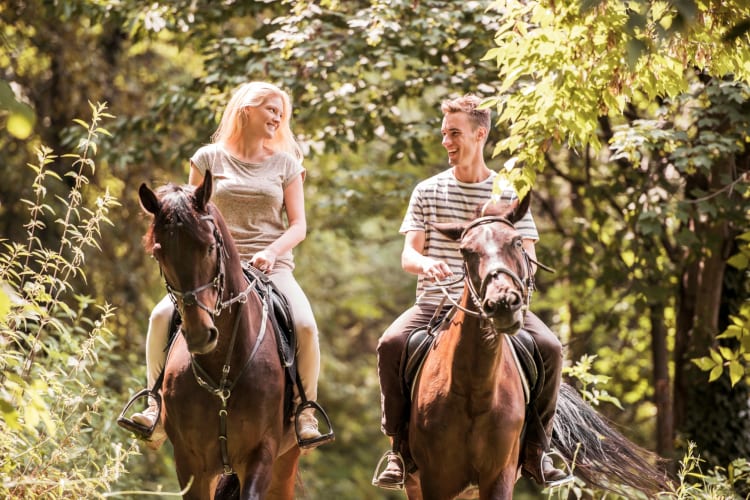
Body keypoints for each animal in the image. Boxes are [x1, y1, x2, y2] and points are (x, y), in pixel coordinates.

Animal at [138, 171, 300, 496]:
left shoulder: (262, 453)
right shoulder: (190, 463)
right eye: (160, 255)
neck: (222, 365)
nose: (200, 335)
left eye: (210, 248)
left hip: (284, 465)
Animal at [406, 197, 676, 500]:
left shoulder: (499, 476)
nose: (502, 303)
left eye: (517, 242)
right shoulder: (434, 481)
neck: (474, 391)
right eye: (466, 251)